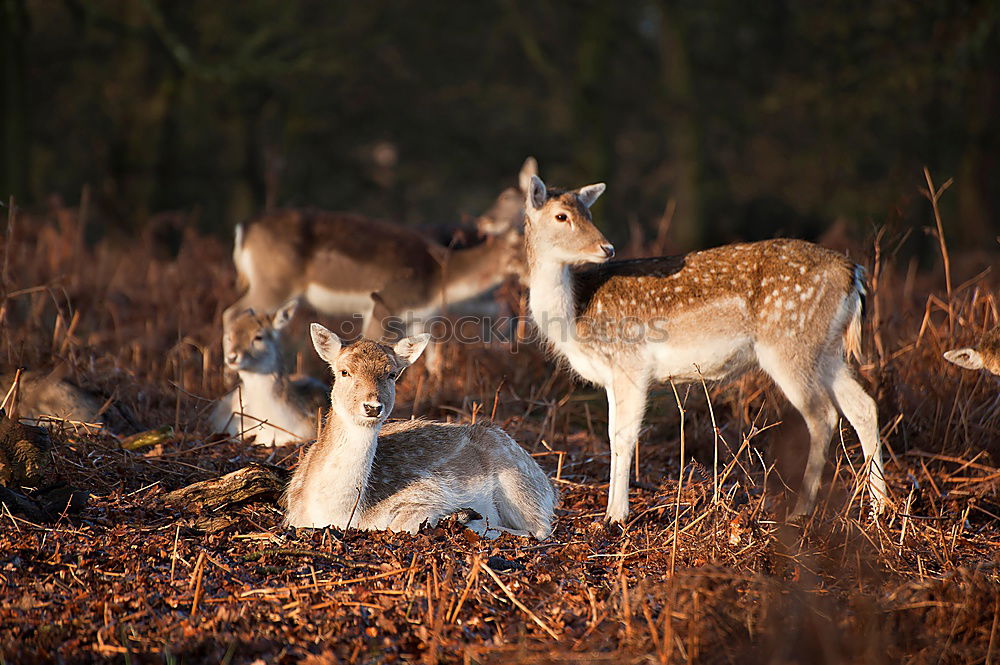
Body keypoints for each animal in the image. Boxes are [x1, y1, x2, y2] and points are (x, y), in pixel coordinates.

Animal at [222, 158, 536, 340]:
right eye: (520, 248)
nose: (485, 220)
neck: (441, 278)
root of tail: (243, 228)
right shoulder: (385, 300)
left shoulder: (422, 317)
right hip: (273, 283)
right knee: (231, 313)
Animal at [284, 324, 556, 536]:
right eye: (344, 372)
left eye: (392, 374)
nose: (372, 406)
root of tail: (552, 490)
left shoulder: (425, 495)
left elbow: (401, 526)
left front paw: (459, 517)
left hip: (517, 480)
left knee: (539, 529)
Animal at [520, 174, 888, 520]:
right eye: (562, 215)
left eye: (588, 212)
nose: (606, 248)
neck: (575, 315)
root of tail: (853, 273)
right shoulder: (613, 375)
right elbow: (613, 436)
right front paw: (612, 510)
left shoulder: (630, 363)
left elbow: (622, 437)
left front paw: (615, 516)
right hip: (826, 350)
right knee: (863, 406)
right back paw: (880, 508)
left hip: (788, 343)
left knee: (823, 415)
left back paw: (802, 511)